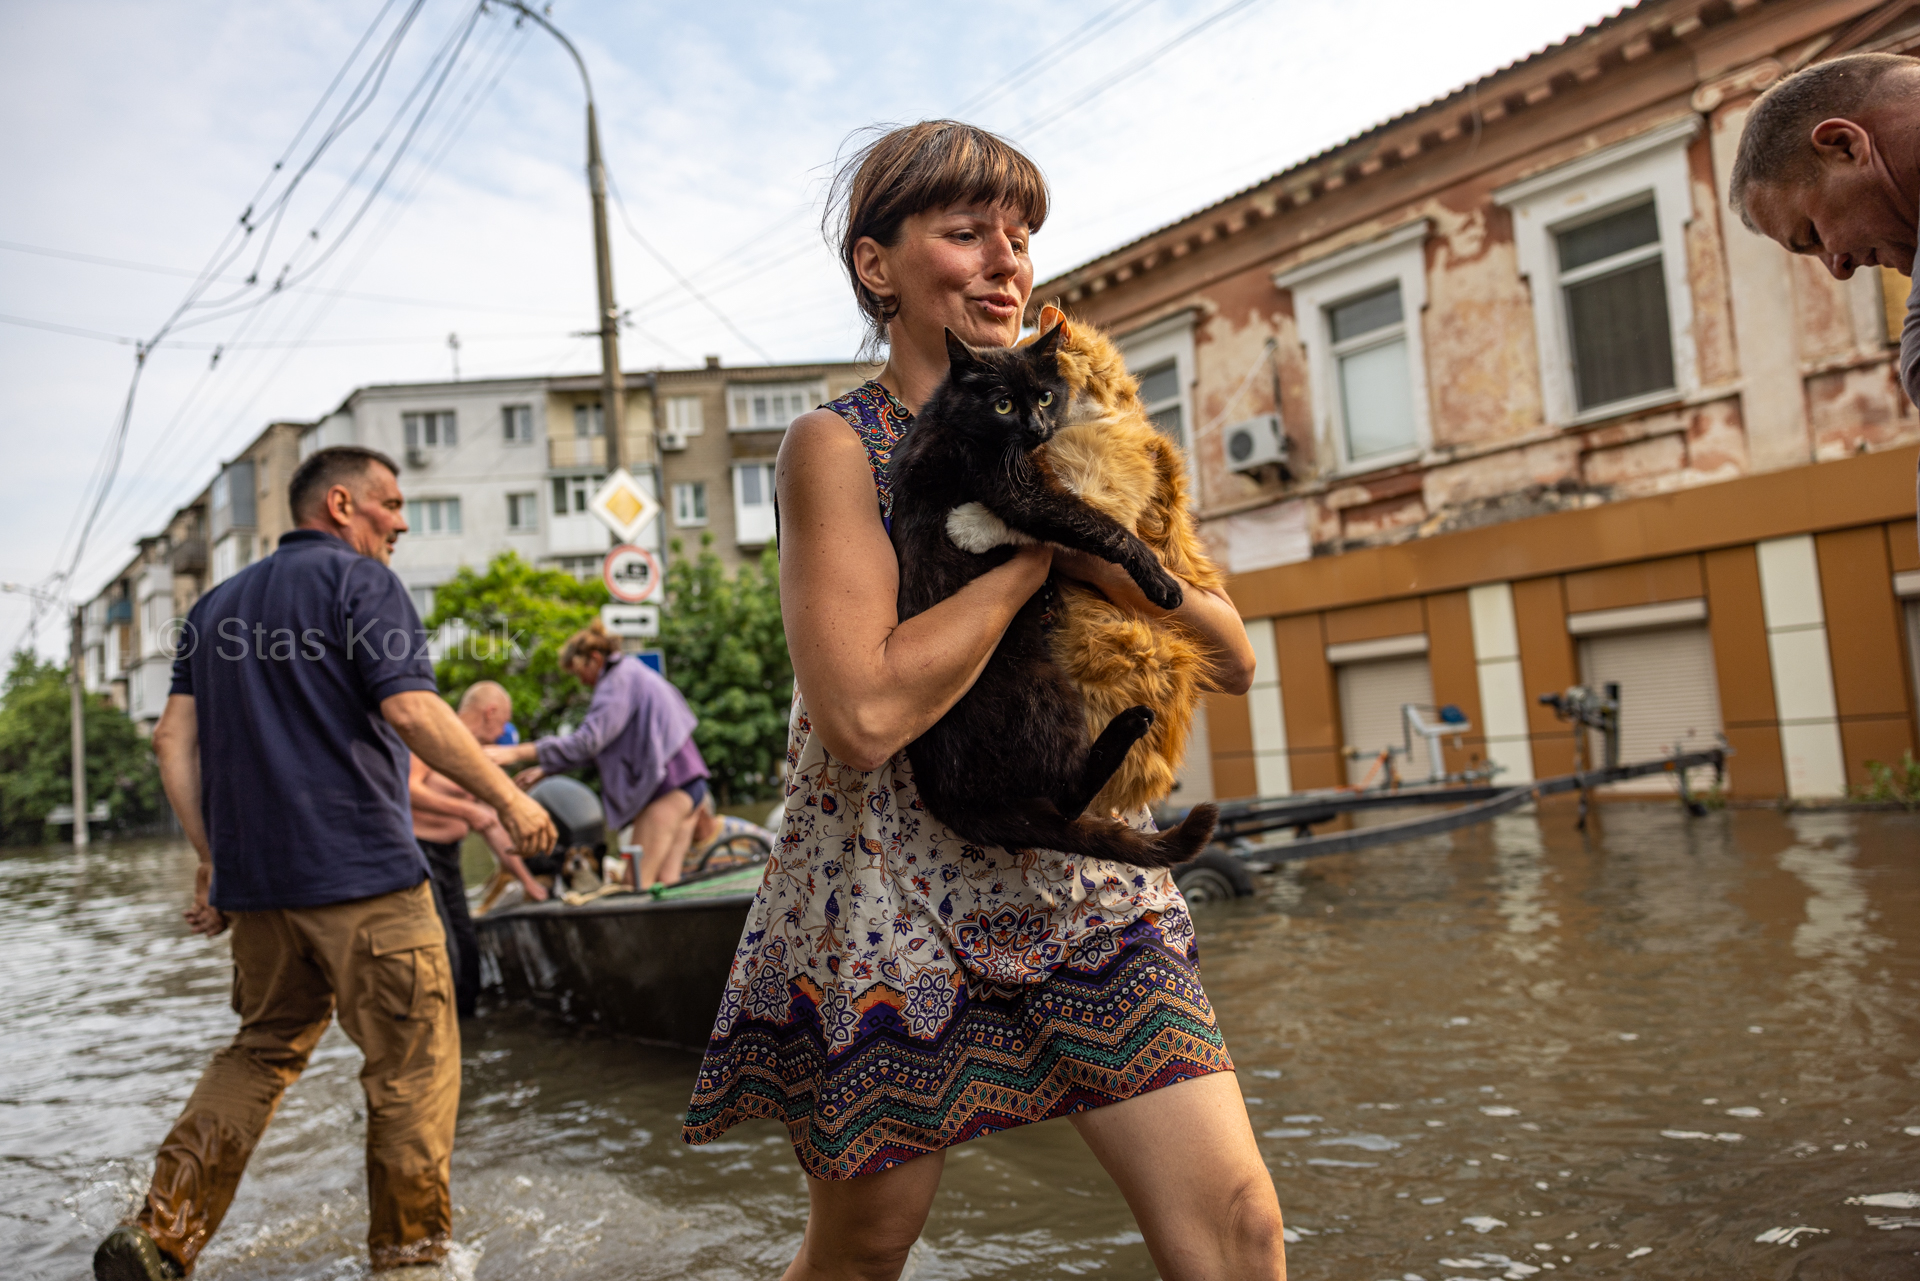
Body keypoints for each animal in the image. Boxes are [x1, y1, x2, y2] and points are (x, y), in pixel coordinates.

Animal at [890, 326, 1221, 871]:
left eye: (1045, 396)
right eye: (1003, 405)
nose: (1037, 427)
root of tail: (948, 799)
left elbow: (1091, 523)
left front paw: (969, 526)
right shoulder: (1023, 491)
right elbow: (1092, 526)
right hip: (1045, 693)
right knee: (1066, 798)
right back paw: (1127, 726)